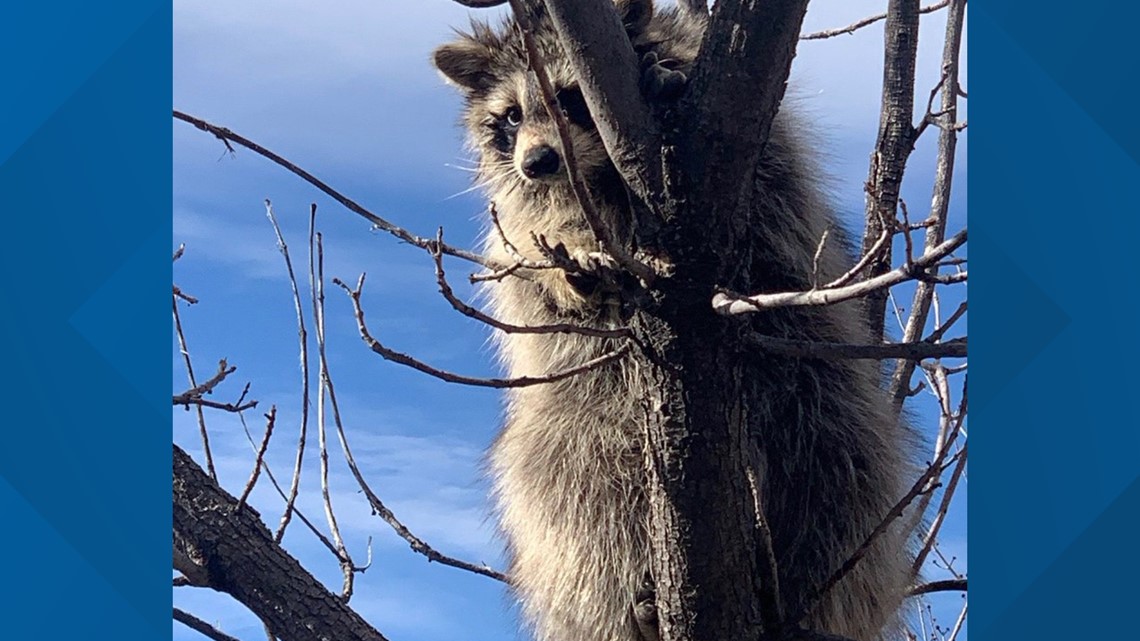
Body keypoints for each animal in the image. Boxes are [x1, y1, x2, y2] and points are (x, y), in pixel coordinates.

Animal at [432, 2, 916, 641]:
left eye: (570, 97)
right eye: (511, 116)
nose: (538, 162)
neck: (600, 175)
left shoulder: (747, 156)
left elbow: (773, 182)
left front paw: (664, 79)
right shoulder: (522, 217)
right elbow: (532, 266)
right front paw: (568, 265)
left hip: (823, 403)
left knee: (839, 478)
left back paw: (798, 587)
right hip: (574, 433)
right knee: (575, 494)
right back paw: (630, 601)